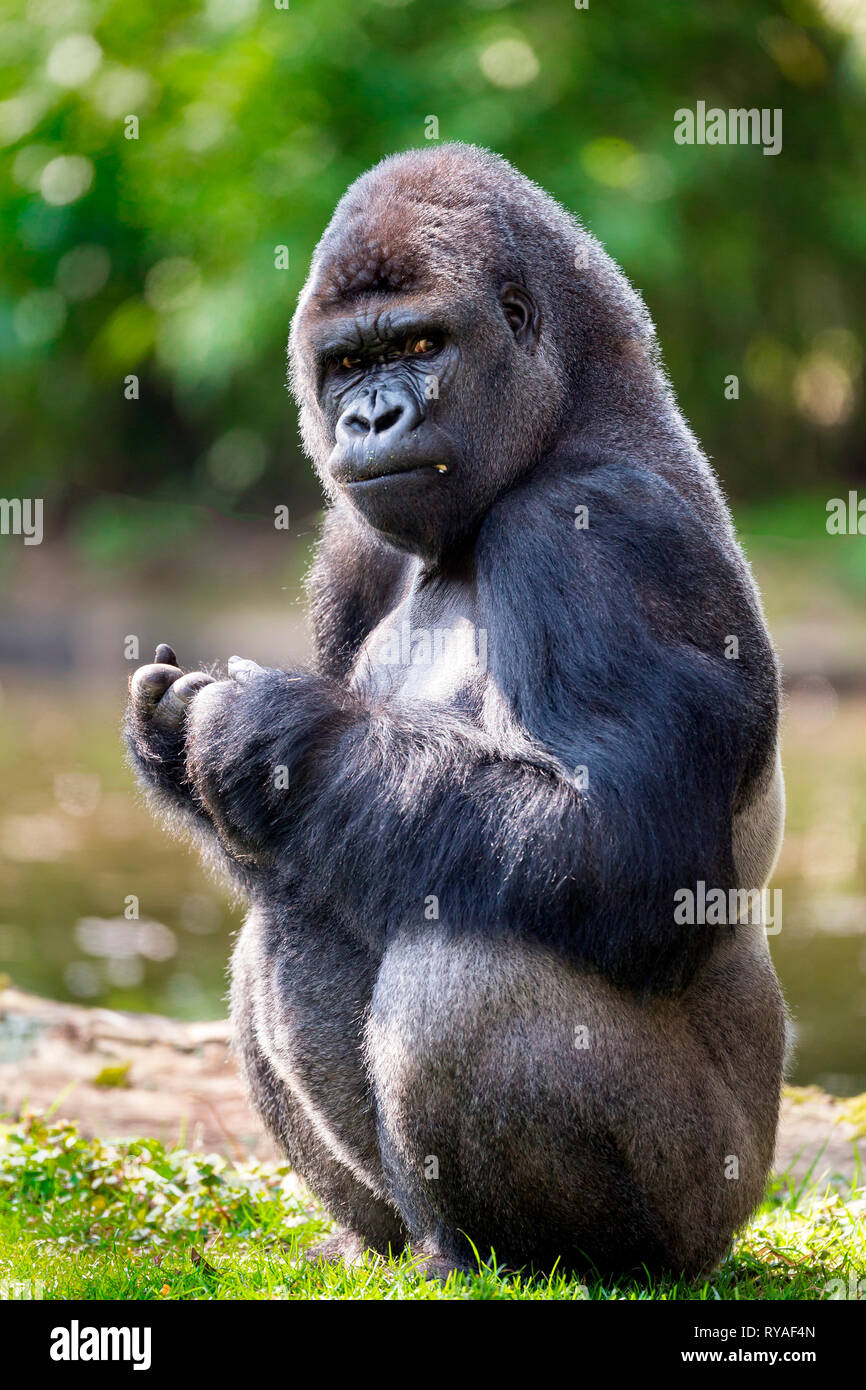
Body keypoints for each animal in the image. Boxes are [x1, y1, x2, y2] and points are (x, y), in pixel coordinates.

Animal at [127, 143, 783, 1278]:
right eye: (348, 364)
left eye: (422, 344)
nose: (369, 419)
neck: (578, 408)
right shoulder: (353, 550)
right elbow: (302, 833)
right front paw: (176, 745)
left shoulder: (598, 528)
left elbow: (628, 852)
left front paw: (273, 731)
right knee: (290, 917)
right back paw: (391, 1242)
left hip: (710, 1199)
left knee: (467, 966)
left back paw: (521, 1255)